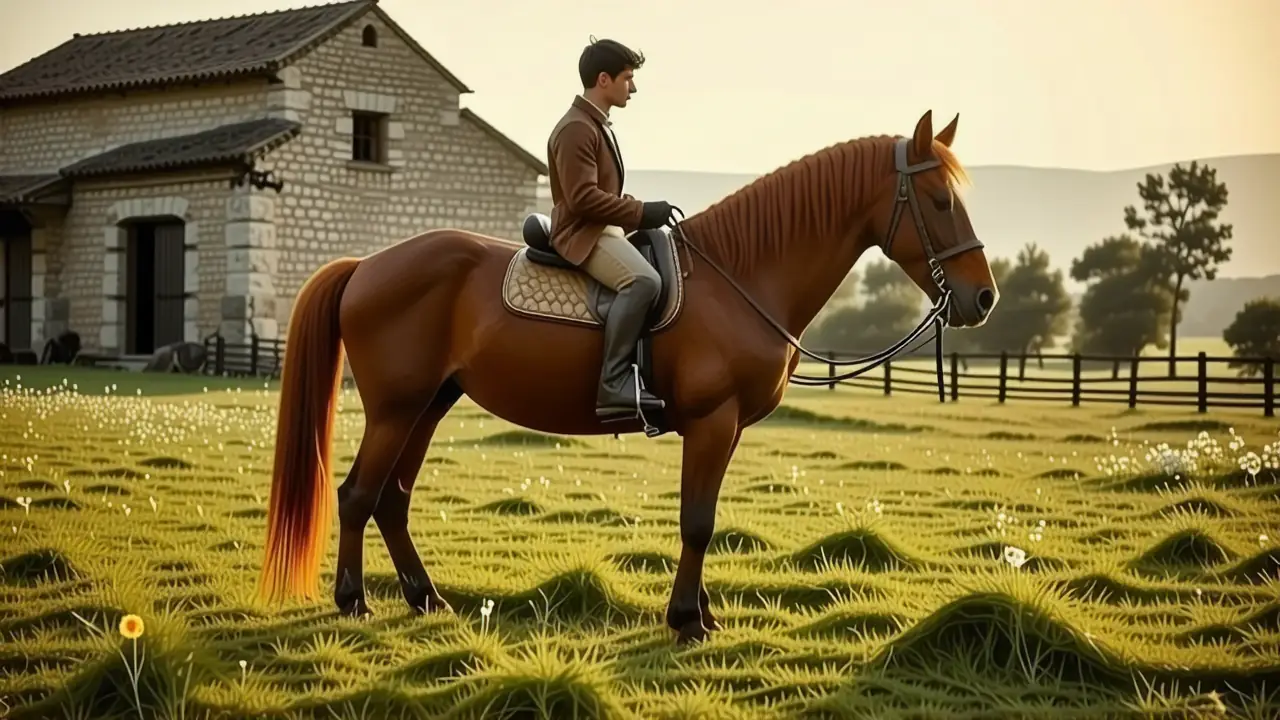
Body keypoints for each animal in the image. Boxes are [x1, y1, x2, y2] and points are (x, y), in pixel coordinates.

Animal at [258, 109, 1000, 644]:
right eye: (938, 199)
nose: (983, 298)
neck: (739, 276)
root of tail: (367, 265)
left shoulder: (726, 429)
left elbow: (704, 516)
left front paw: (700, 613)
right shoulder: (712, 421)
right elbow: (697, 521)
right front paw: (687, 623)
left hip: (429, 406)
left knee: (391, 498)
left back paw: (425, 598)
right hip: (395, 408)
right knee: (357, 495)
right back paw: (354, 603)